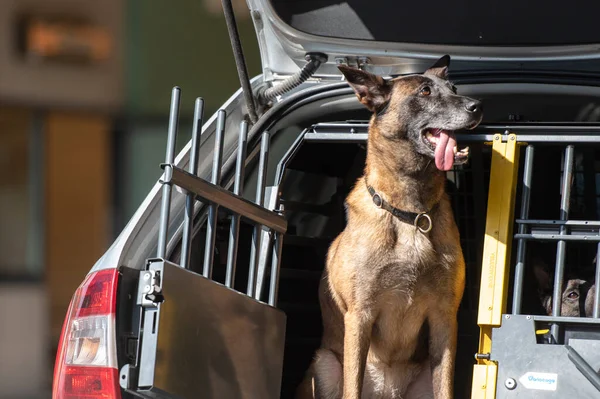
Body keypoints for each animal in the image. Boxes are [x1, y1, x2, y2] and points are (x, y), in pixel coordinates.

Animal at [296, 56, 482, 399]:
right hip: (326, 363)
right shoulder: (360, 315)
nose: (478, 106)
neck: (411, 213)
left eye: (453, 88)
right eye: (425, 91)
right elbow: (352, 387)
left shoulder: (444, 317)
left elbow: (445, 387)